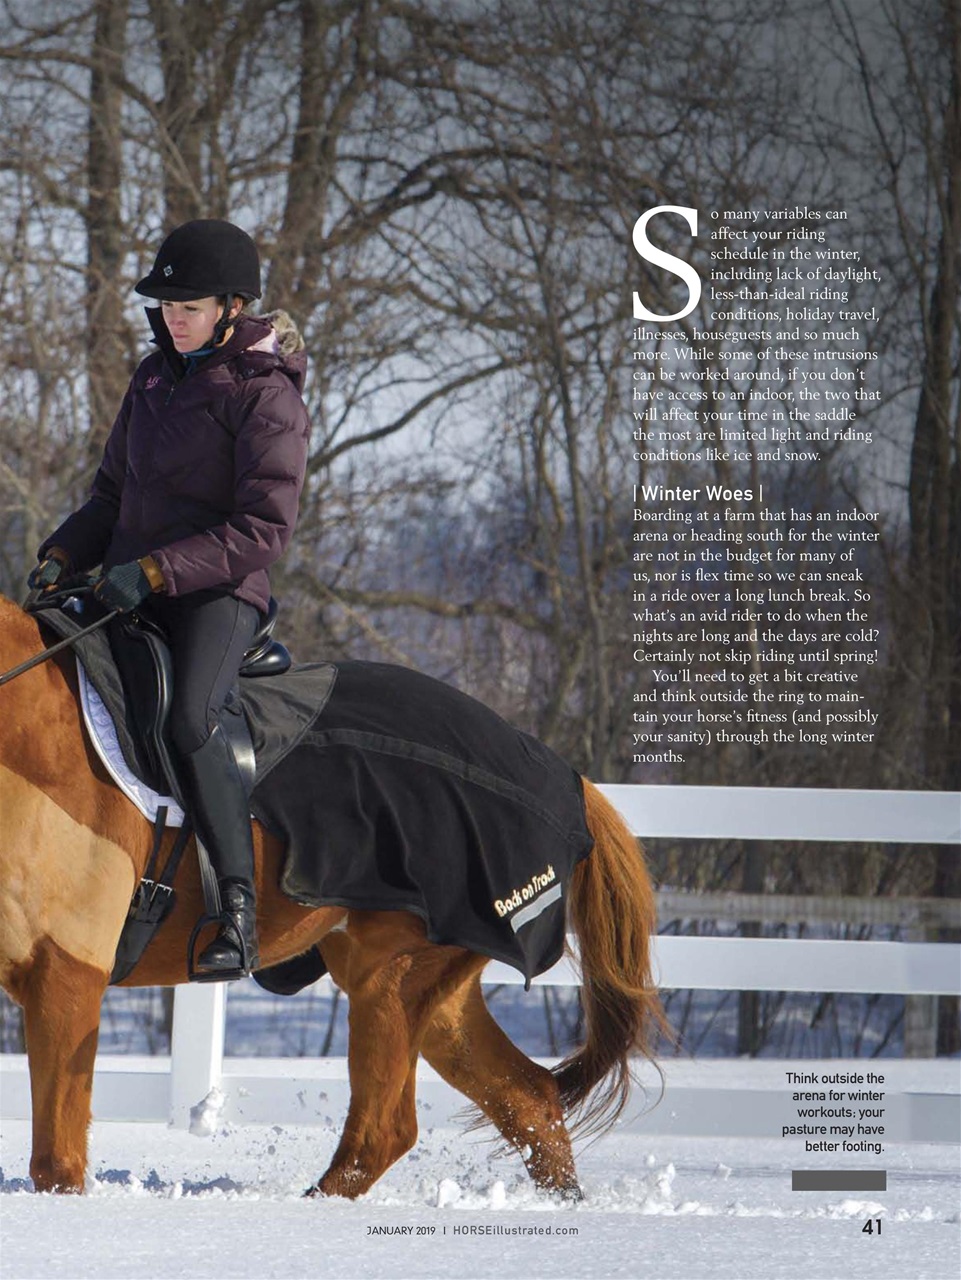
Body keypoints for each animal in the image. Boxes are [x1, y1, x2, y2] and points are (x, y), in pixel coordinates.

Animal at [0, 593, 663, 1198]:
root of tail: (560, 777)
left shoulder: (67, 970)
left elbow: (57, 1165)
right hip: (438, 991)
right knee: (530, 1100)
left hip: (390, 979)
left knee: (385, 1132)